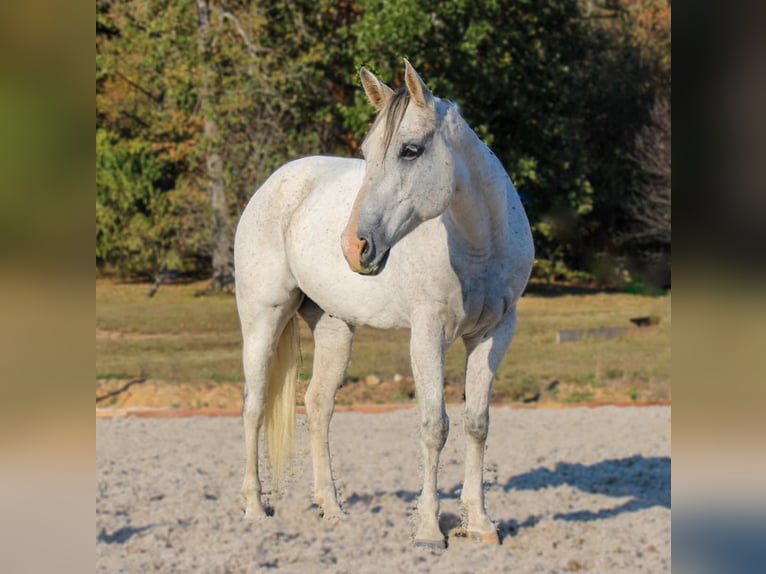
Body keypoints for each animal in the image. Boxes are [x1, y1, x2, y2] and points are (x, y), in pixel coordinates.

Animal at [234, 59, 536, 548]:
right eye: (367, 150)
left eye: (410, 151)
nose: (353, 246)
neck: (478, 244)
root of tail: (274, 184)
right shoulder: (428, 335)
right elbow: (434, 426)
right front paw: (430, 531)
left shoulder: (494, 334)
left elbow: (477, 423)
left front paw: (480, 524)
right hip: (263, 318)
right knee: (254, 406)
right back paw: (255, 508)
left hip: (334, 328)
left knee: (318, 405)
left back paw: (332, 509)